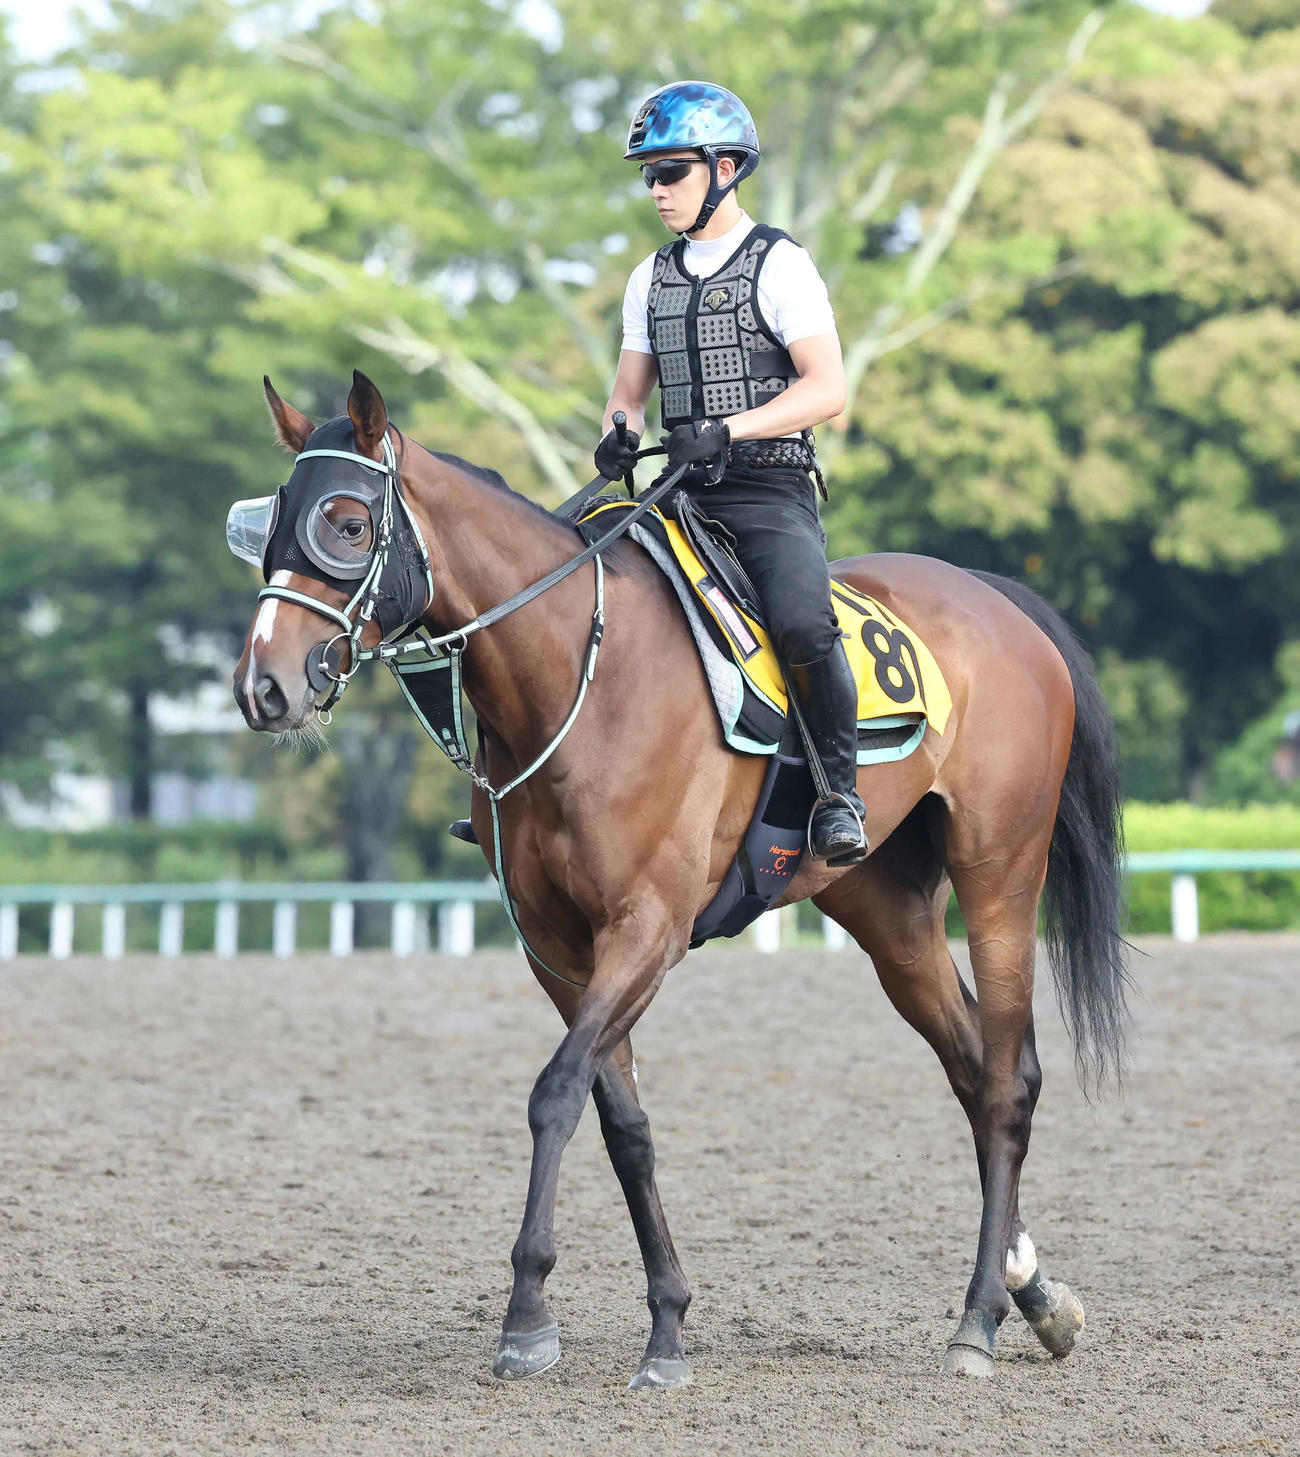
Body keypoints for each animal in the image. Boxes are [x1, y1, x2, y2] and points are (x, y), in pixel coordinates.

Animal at [233, 371, 1128, 1387]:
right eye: (271, 522)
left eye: (346, 523)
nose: (264, 686)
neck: (578, 675)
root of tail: (996, 600)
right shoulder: (560, 949)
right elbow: (622, 1122)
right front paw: (666, 1321)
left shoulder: (646, 929)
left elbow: (555, 1093)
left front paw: (527, 1313)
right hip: (888, 915)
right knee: (975, 1068)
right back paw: (1034, 1291)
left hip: (999, 878)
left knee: (1011, 1079)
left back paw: (978, 1318)